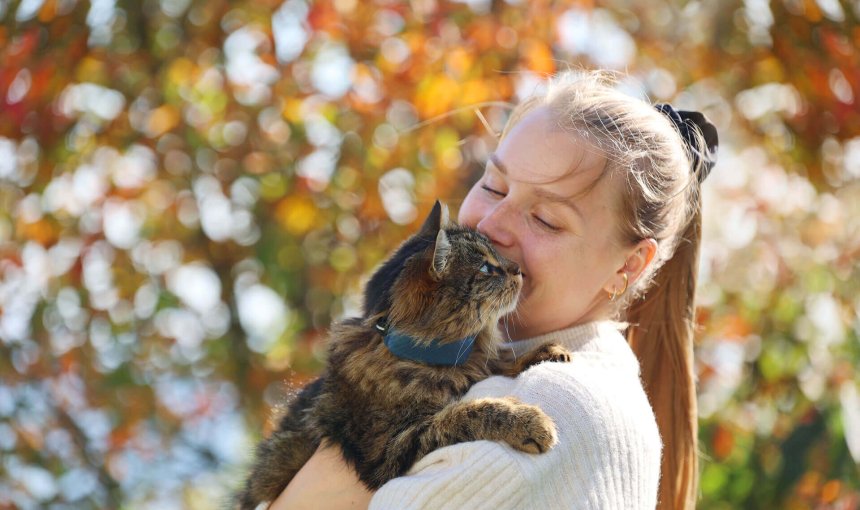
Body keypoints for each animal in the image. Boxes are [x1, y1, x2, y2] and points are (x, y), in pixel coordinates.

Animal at [235, 201, 572, 508]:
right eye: (487, 268)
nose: (518, 270)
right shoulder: (389, 451)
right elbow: (465, 413)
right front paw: (527, 420)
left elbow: (499, 363)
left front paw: (546, 351)